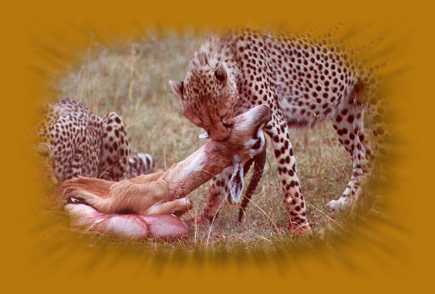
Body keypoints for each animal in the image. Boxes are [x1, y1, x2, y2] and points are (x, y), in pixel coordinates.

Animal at [170, 29, 382, 234]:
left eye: (222, 117)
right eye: (203, 124)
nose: (220, 138)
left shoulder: (275, 123)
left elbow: (289, 181)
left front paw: (300, 227)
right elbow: (219, 181)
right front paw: (205, 219)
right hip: (345, 113)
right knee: (364, 154)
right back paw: (347, 202)